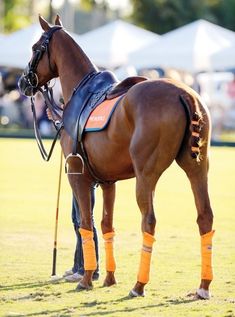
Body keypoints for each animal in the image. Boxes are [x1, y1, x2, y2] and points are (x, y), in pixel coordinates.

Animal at [18, 16, 215, 298]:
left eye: (35, 48)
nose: (23, 83)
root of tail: (184, 94)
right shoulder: (108, 181)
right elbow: (106, 224)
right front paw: (109, 278)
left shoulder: (77, 175)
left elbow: (85, 223)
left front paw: (86, 278)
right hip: (197, 167)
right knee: (205, 216)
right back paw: (203, 286)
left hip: (145, 175)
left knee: (149, 220)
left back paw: (139, 285)